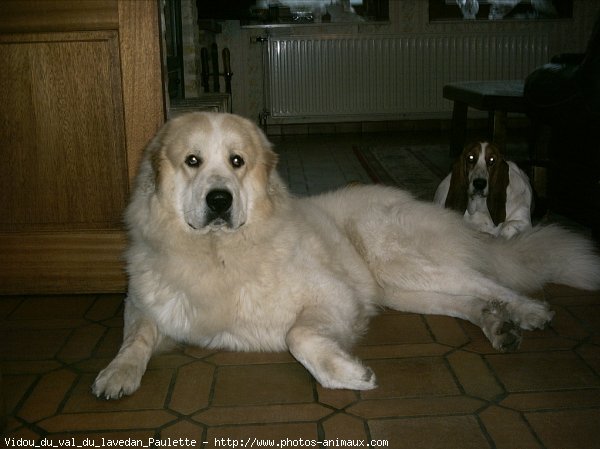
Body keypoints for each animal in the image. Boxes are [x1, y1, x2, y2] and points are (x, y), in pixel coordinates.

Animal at [91, 111, 600, 396]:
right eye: (192, 161)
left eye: (237, 162)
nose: (220, 200)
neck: (219, 253)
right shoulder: (144, 303)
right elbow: (135, 337)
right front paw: (117, 375)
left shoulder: (332, 298)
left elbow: (299, 337)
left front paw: (349, 373)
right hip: (402, 290)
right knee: (470, 300)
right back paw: (498, 325)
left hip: (403, 263)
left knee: (490, 281)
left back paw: (529, 312)